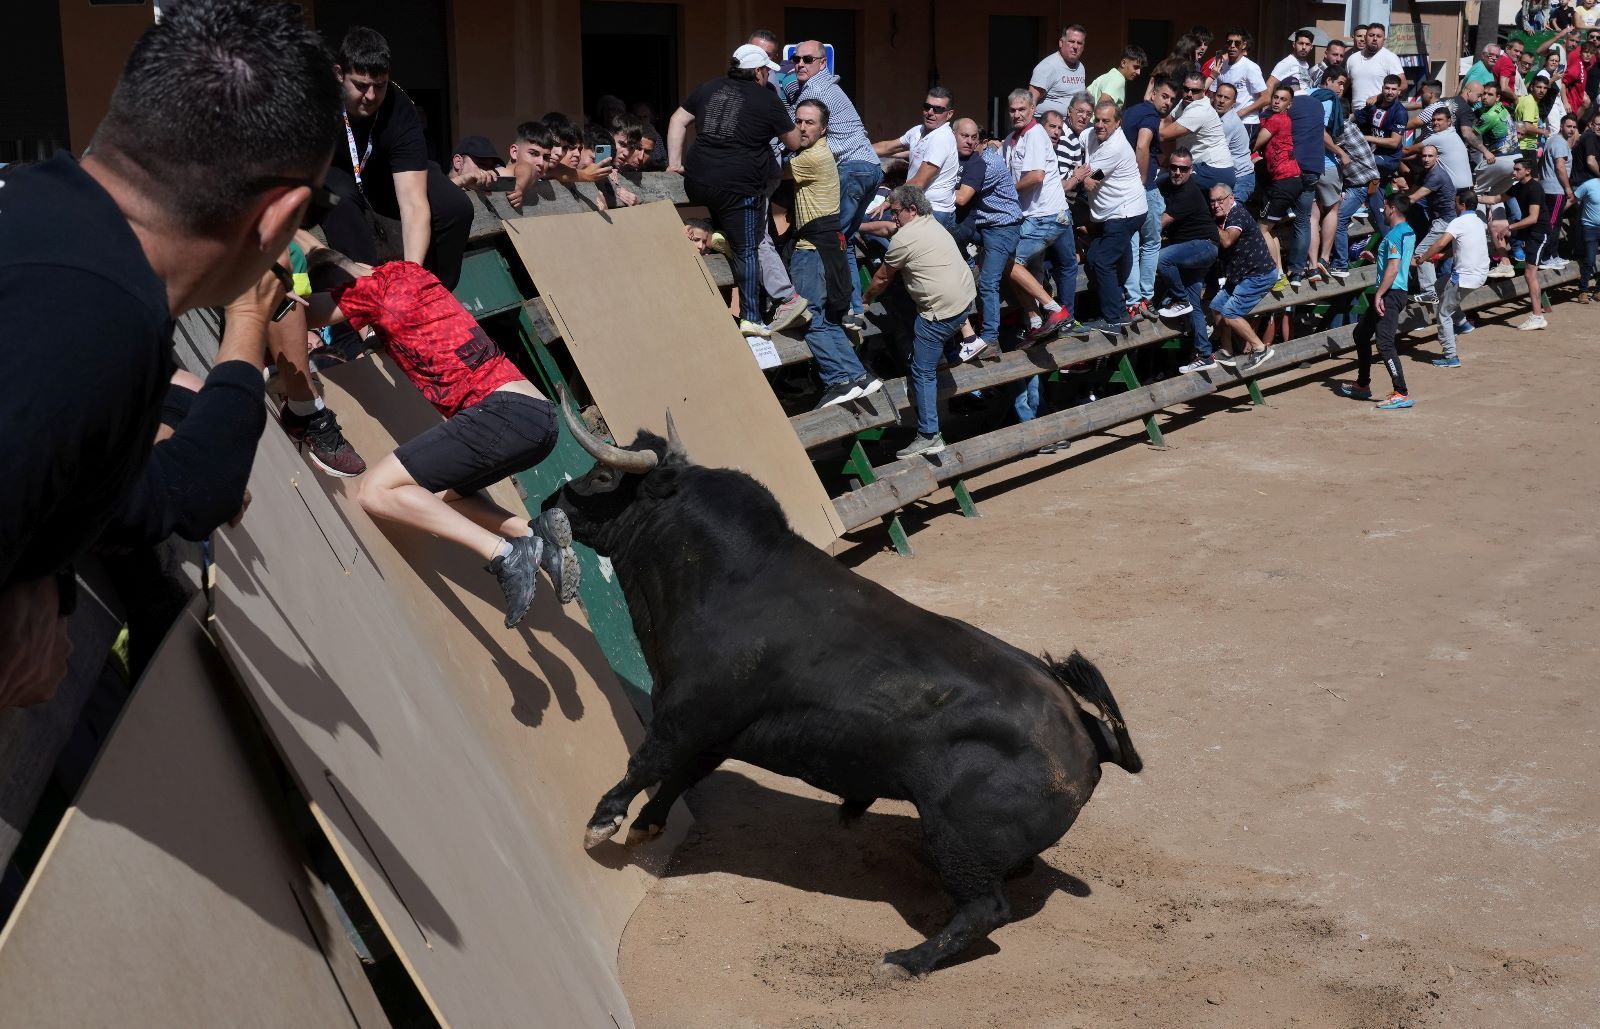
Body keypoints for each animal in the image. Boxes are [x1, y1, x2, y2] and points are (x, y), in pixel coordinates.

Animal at [550, 398, 1139, 979]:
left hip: (957, 839)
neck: (724, 579)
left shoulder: (689, 711)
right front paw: (645, 827)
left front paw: (601, 824)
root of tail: (1088, 734)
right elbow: (680, 774)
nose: (551, 501)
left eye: (602, 475)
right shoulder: (715, 733)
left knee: (985, 911)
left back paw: (906, 960)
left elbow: (648, 761)